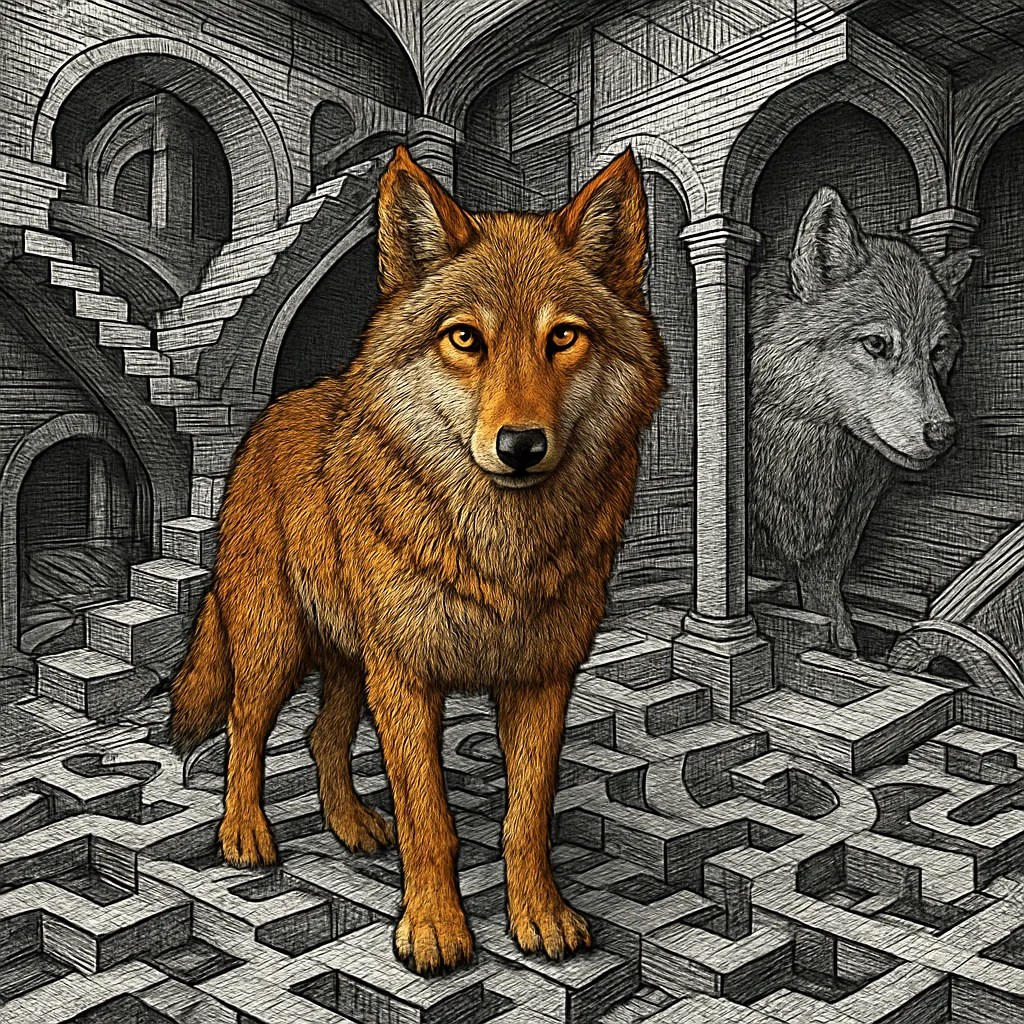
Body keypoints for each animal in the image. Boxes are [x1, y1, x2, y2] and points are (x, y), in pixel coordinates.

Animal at [169, 146, 666, 975]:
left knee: (321, 736)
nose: (520, 445)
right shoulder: (406, 678)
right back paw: (244, 836)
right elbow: (428, 818)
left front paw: (540, 917)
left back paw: (353, 827)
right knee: (245, 727)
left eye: (563, 337)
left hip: (348, 661)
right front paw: (433, 929)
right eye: (466, 339)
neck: (498, 548)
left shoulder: (542, 680)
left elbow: (525, 817)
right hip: (277, 642)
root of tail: (275, 410)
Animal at [749, 187, 979, 652]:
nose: (943, 434)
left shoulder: (846, 520)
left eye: (939, 351)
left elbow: (824, 589)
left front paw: (840, 644)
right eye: (876, 343)